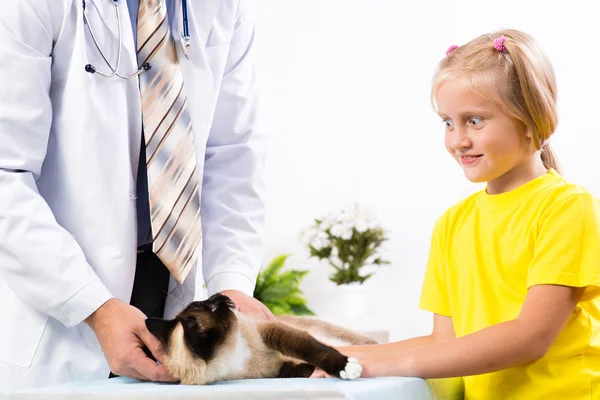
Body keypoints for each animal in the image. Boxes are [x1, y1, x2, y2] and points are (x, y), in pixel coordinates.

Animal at [145, 294, 378, 384]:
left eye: (207, 303)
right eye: (211, 308)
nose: (219, 296)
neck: (239, 355)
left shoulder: (271, 332)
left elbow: (311, 349)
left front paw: (345, 366)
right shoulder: (278, 370)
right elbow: (300, 370)